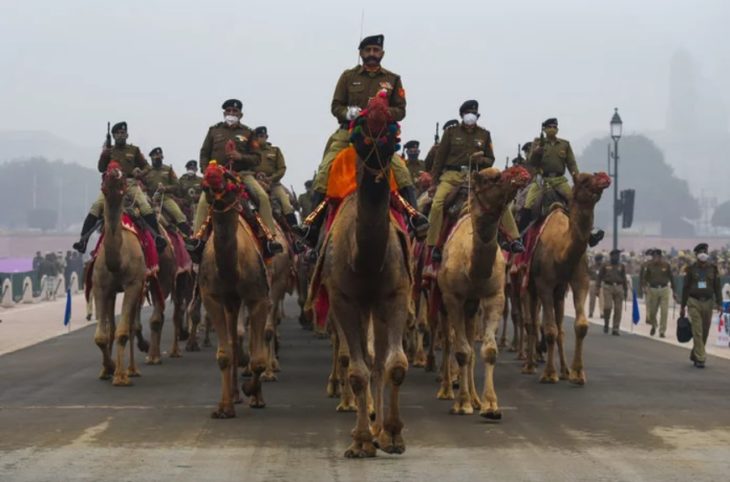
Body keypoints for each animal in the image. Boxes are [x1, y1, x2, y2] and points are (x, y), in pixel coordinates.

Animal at [92, 164, 151, 386]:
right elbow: (101, 336)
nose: (113, 171)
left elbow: (124, 331)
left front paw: (120, 375)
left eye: (123, 181)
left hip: (141, 284)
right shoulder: (100, 287)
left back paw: (132, 369)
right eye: (104, 178)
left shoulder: (134, 284)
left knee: (132, 325)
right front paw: (107, 368)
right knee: (113, 327)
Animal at [196, 163, 270, 418]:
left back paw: (254, 397)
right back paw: (235, 395)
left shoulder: (258, 297)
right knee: (234, 341)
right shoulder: (213, 298)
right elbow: (224, 355)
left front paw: (251, 390)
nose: (212, 175)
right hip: (231, 302)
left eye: (229, 178)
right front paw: (224, 407)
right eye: (205, 184)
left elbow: (258, 359)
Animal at [312, 95, 412, 460]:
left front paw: (392, 435)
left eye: (394, 136)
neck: (366, 260)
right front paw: (360, 442)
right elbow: (356, 369)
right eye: (360, 134)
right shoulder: (343, 299)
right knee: (365, 360)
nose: (379, 169)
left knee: (379, 361)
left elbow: (395, 364)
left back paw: (380, 429)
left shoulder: (396, 294)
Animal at [432, 166, 528, 418]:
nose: (522, 174)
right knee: (449, 341)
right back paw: (448, 391)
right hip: (442, 299)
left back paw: (475, 399)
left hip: (473, 306)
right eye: (490, 179)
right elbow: (461, 351)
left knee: (469, 345)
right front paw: (462, 403)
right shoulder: (453, 298)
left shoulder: (494, 296)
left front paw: (490, 405)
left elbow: (488, 350)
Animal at [520, 172, 612, 384]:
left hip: (559, 292)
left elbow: (580, 326)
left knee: (559, 326)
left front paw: (577, 373)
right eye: (584, 181)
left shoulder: (580, 282)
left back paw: (564, 370)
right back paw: (529, 365)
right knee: (531, 323)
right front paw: (549, 374)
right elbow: (549, 329)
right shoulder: (544, 284)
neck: (561, 252)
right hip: (528, 284)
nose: (604, 177)